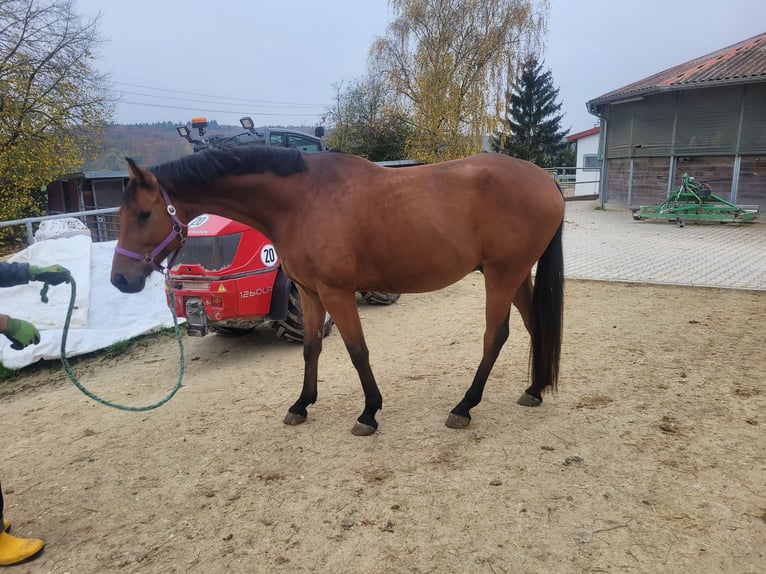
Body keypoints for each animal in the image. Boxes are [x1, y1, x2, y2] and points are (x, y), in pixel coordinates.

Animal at [111, 146, 564, 436]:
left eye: (145, 213)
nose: (120, 280)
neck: (301, 200)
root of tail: (546, 180)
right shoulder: (310, 293)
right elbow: (312, 347)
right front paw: (301, 405)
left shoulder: (337, 293)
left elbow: (357, 350)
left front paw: (369, 413)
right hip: (515, 275)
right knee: (534, 325)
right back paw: (534, 390)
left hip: (501, 276)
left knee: (495, 335)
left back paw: (464, 406)